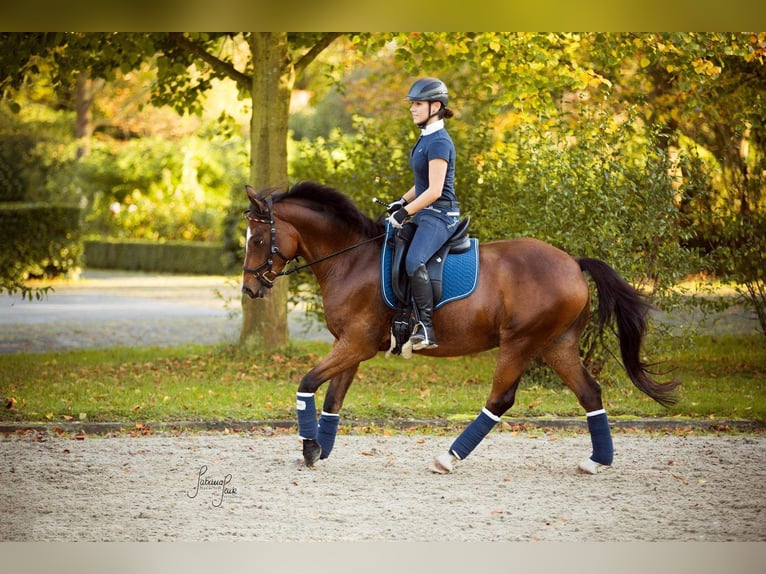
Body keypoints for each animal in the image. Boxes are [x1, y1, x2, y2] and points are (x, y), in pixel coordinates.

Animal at [240, 182, 680, 474]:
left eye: (258, 239)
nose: (249, 288)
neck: (351, 259)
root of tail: (572, 261)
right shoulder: (350, 345)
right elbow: (333, 398)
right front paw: (320, 447)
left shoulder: (355, 344)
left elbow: (308, 383)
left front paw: (309, 445)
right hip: (557, 345)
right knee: (589, 392)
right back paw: (597, 461)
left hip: (520, 341)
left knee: (500, 399)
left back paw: (448, 457)